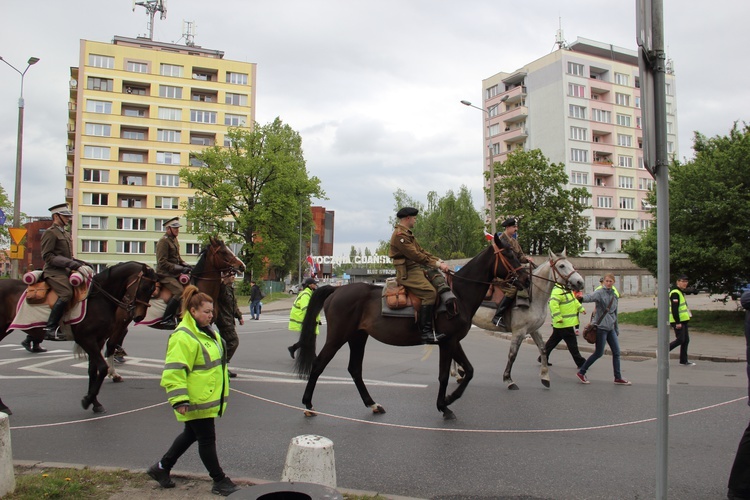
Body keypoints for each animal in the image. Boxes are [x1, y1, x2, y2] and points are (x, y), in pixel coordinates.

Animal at [0, 262, 159, 414]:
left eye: (153, 289)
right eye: (146, 287)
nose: (139, 316)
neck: (99, 299)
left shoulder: (98, 340)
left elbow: (93, 370)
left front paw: (95, 403)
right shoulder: (86, 340)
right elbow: (102, 368)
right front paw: (88, 400)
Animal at [296, 236, 532, 420]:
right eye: (509, 254)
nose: (526, 279)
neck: (458, 295)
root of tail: (336, 291)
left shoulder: (453, 341)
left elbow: (470, 371)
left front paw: (448, 399)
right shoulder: (448, 342)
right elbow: (444, 375)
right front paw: (444, 405)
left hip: (358, 337)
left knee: (355, 369)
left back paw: (373, 404)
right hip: (338, 337)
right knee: (318, 364)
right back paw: (307, 405)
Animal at [476, 250, 588, 390]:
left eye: (572, 265)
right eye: (562, 266)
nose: (580, 282)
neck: (534, 296)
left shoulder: (534, 329)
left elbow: (543, 349)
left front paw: (545, 377)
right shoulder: (519, 331)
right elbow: (512, 354)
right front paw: (508, 379)